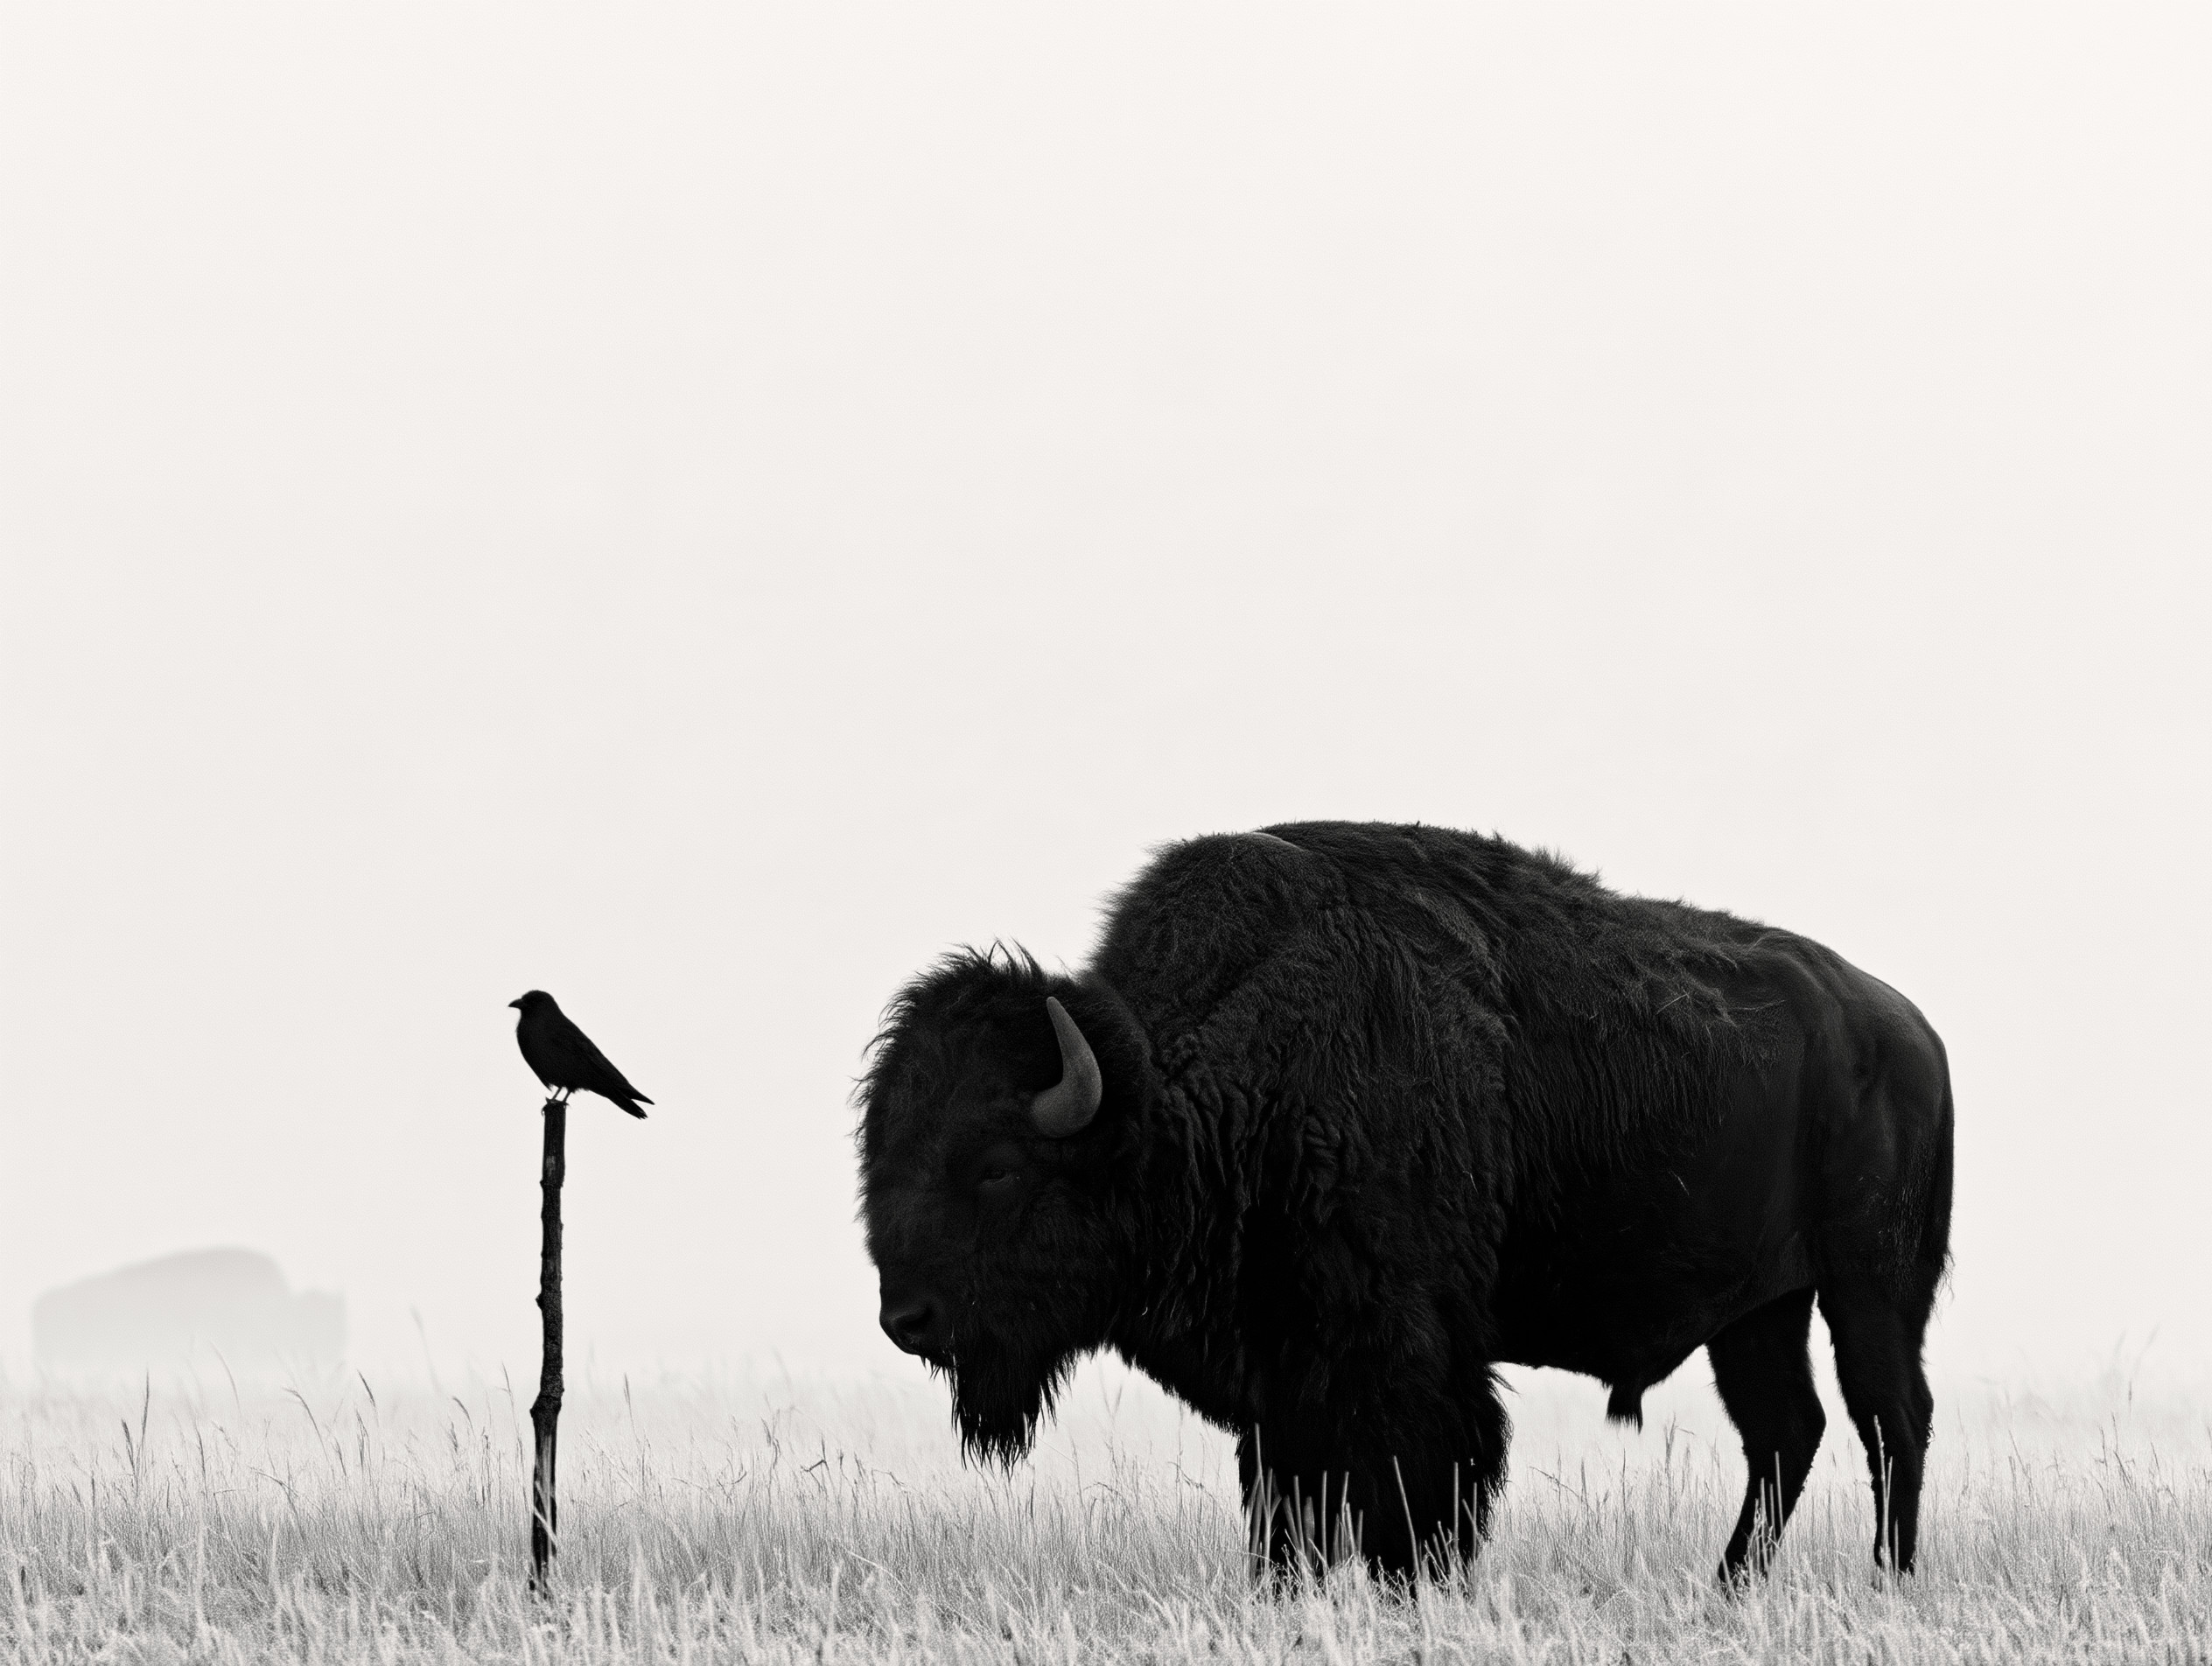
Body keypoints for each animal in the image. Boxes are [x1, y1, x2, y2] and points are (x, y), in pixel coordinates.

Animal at [859, 822, 1952, 1580]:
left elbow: (1415, 1507)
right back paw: (1728, 1586)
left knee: (1888, 1417)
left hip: (1868, 1286)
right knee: (1785, 1430)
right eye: (884, 1152)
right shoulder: (1283, 1390)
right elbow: (1285, 1519)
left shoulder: (1408, 1373)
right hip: (1757, 1309)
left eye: (995, 1166)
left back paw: (1884, 1580)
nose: (907, 1318)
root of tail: (1905, 1027)